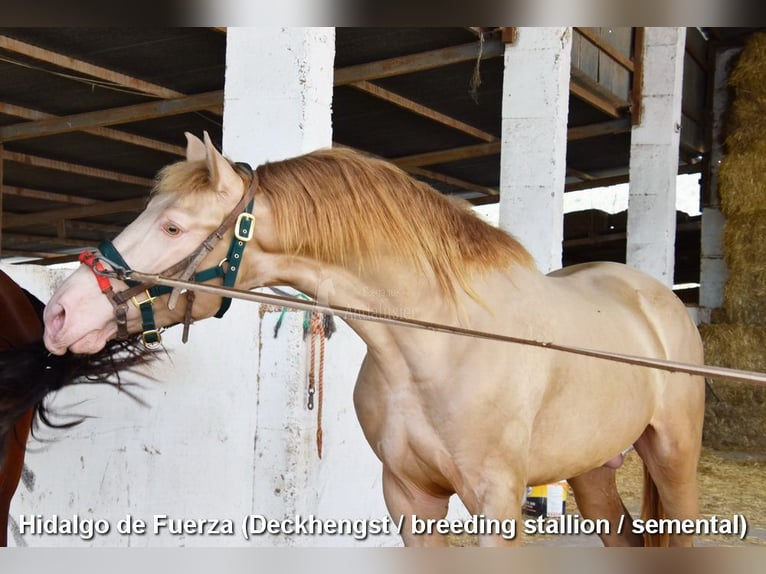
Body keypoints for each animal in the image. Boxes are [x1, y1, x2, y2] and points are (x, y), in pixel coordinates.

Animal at [39, 132, 704, 548]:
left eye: (174, 226)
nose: (61, 313)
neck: (439, 344)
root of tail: (654, 296)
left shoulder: (498, 503)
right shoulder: (410, 498)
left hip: (673, 457)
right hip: (591, 470)